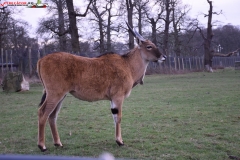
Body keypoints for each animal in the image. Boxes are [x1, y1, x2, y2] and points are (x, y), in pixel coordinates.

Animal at [37, 22, 167, 151]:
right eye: (149, 46)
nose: (163, 57)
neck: (127, 65)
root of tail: (41, 60)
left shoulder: (113, 99)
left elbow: (114, 117)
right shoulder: (118, 97)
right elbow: (118, 117)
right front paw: (120, 141)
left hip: (61, 95)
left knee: (52, 116)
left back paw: (58, 143)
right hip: (55, 94)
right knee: (43, 113)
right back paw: (42, 146)